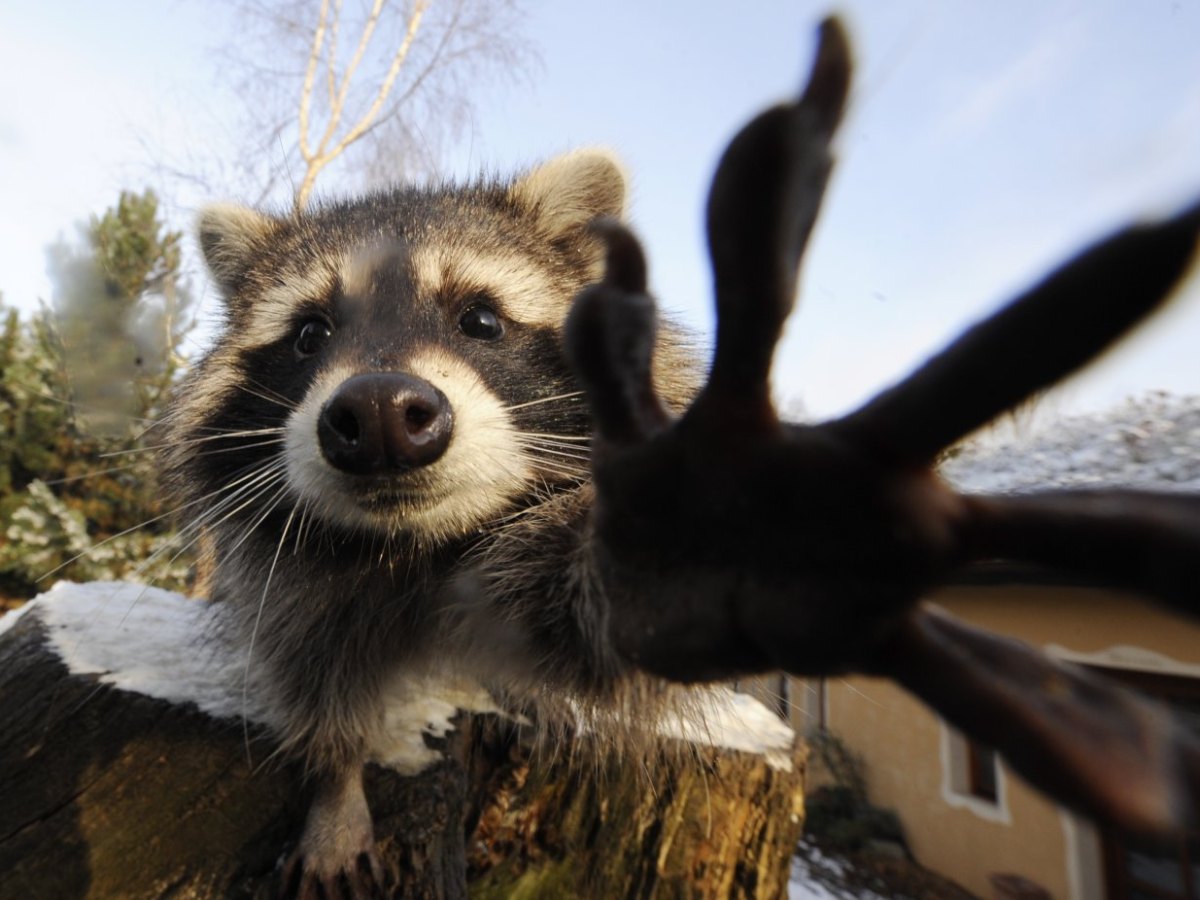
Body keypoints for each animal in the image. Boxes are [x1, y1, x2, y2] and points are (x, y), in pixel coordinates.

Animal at [164, 151, 700, 892]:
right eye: (309, 334)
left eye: (481, 320)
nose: (380, 414)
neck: (418, 542)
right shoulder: (287, 587)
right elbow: (311, 672)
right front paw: (336, 782)